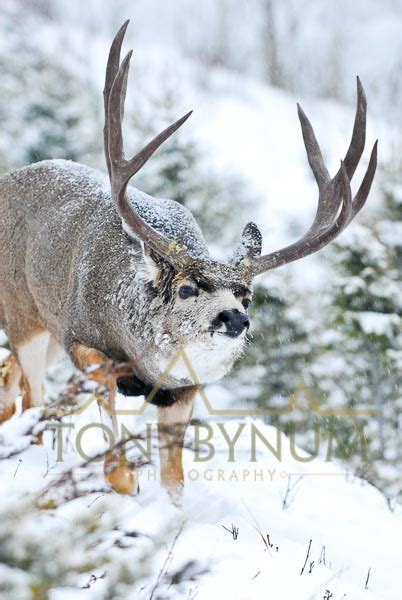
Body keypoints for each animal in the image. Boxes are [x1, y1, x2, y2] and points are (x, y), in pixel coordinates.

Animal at [0, 21, 376, 502]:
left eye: (247, 296)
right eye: (186, 288)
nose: (234, 319)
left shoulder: (183, 390)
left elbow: (174, 480)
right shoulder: (79, 334)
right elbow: (112, 438)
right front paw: (124, 478)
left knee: (17, 384)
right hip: (26, 316)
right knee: (31, 398)